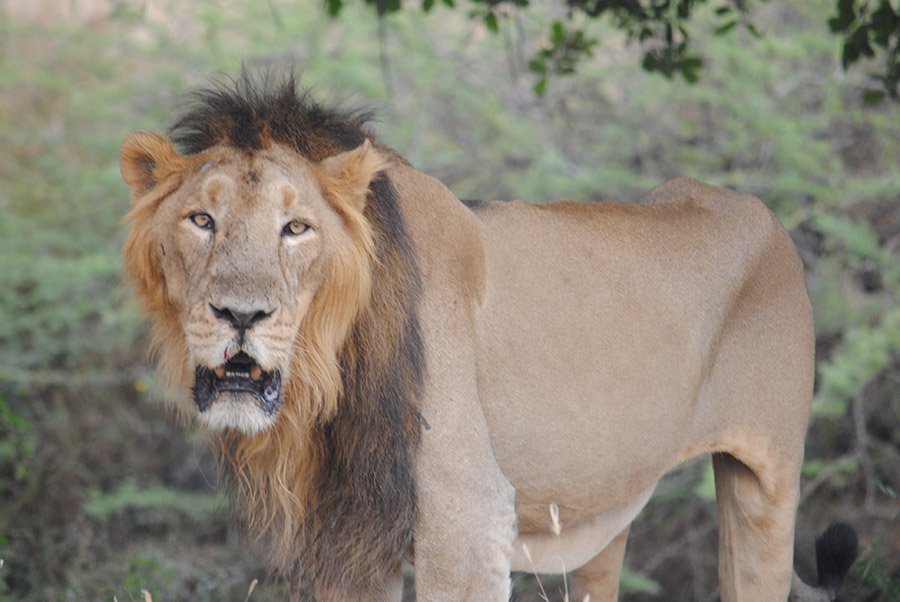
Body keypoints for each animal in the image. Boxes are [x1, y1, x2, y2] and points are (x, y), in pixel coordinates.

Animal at [120, 73, 857, 601]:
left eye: (296, 228)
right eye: (201, 220)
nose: (240, 315)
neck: (326, 375)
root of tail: (763, 213)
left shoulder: (466, 519)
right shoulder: (350, 532)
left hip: (767, 480)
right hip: (607, 507)